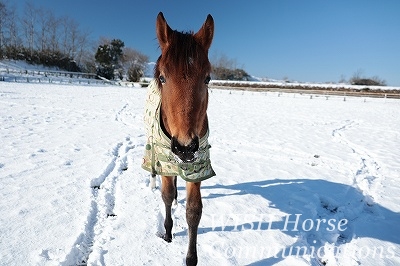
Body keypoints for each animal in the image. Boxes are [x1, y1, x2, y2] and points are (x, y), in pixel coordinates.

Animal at [144, 11, 214, 264]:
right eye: (164, 77)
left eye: (207, 78)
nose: (185, 147)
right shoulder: (165, 158)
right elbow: (165, 195)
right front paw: (167, 234)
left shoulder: (197, 166)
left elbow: (194, 211)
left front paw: (191, 258)